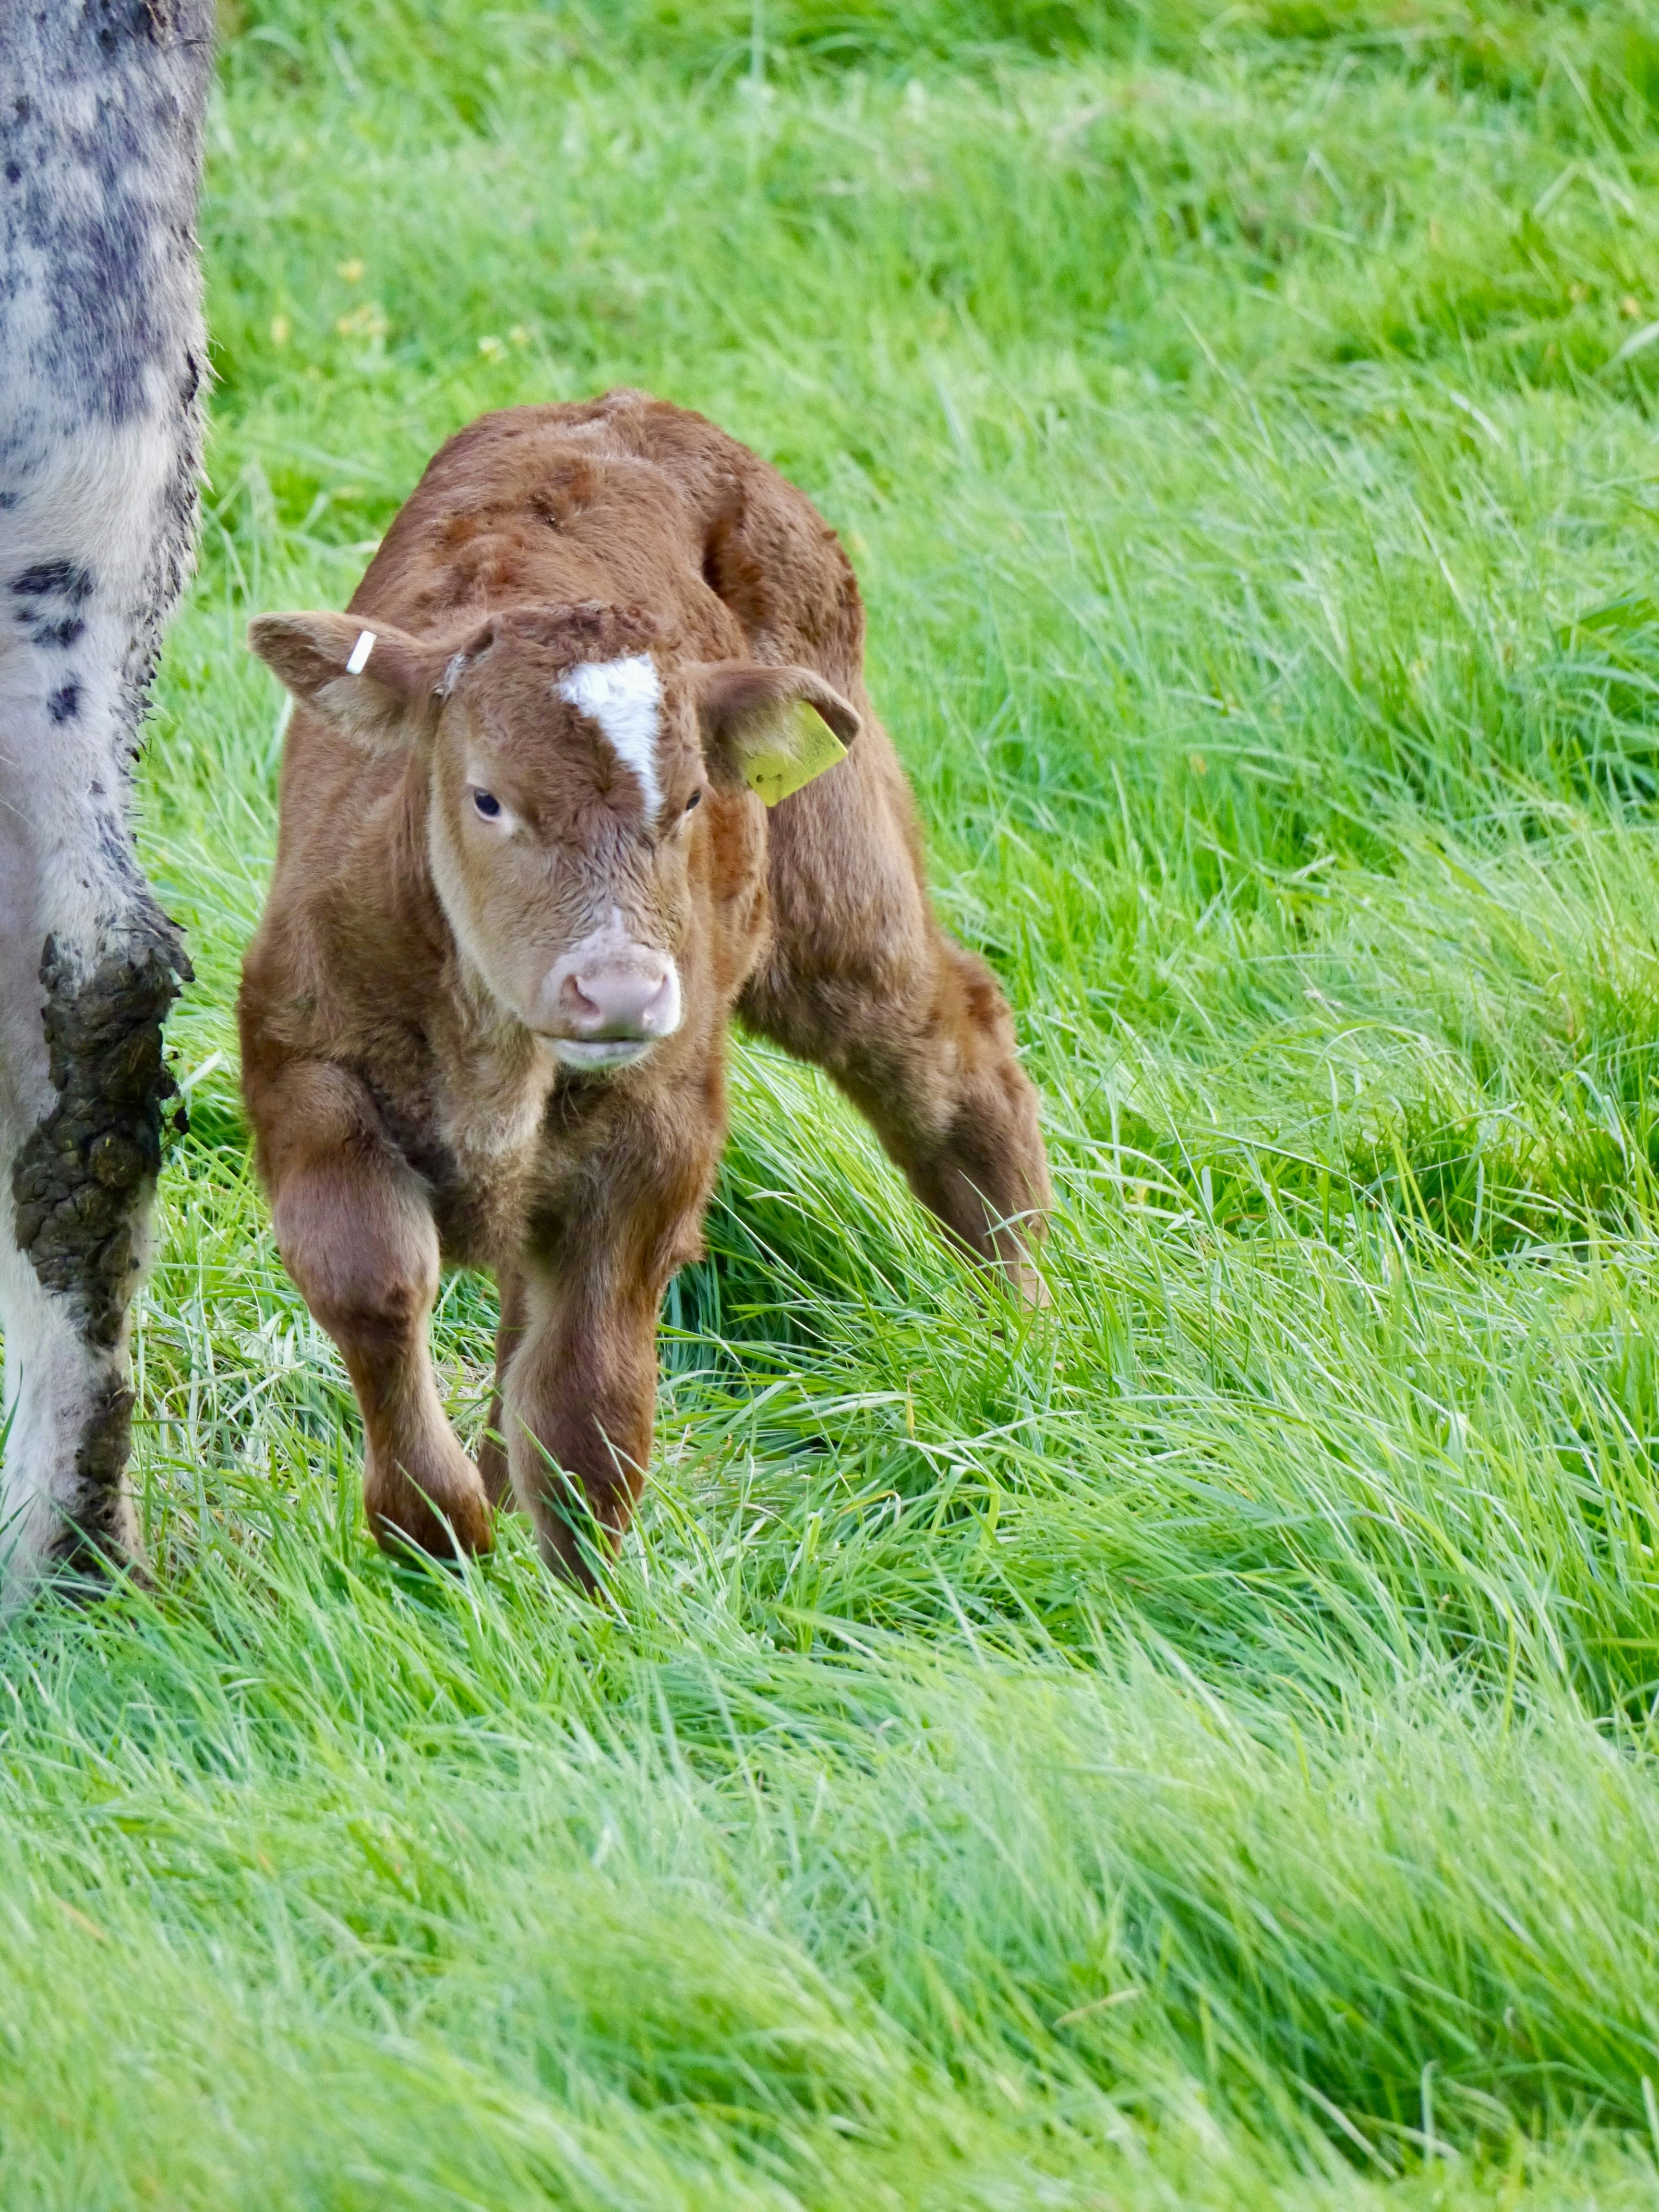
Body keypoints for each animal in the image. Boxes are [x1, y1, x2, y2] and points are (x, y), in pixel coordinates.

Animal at [239, 392, 1050, 1584]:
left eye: (696, 798)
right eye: (486, 797)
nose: (616, 991)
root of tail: (622, 407)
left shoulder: (658, 1124)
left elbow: (589, 1392)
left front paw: (584, 1601)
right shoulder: (301, 1059)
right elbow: (374, 1283)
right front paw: (437, 1532)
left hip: (836, 886)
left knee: (950, 1047)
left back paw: (1023, 1325)